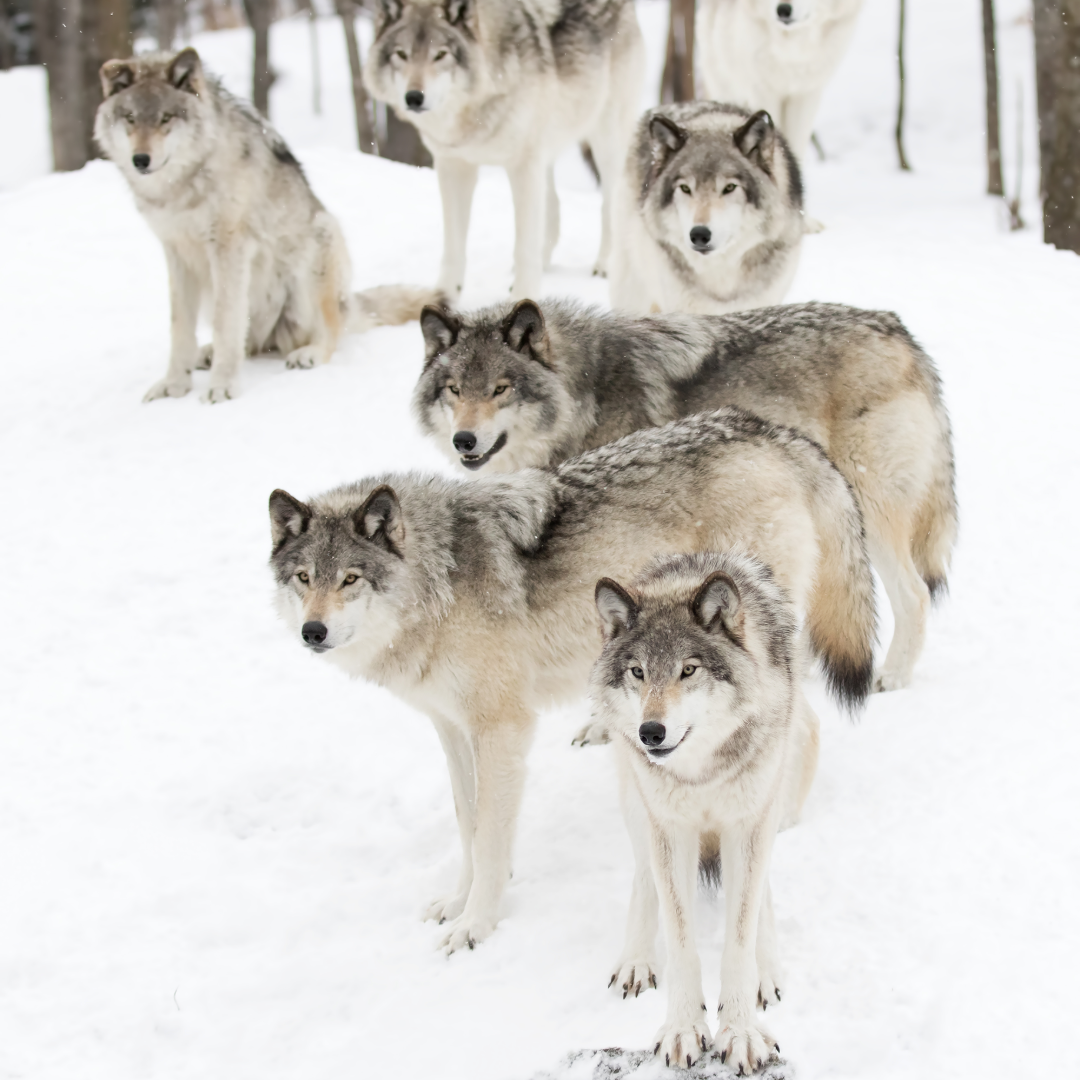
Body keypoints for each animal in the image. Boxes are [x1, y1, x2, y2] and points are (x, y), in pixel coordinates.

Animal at [95, 48, 441, 403]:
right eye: (130, 118)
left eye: (166, 118)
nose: (141, 160)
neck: (181, 186)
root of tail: (351, 303)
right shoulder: (176, 252)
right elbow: (181, 328)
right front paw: (174, 385)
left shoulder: (228, 246)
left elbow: (226, 322)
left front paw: (222, 386)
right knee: (250, 342)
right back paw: (208, 352)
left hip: (317, 249)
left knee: (328, 330)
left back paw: (310, 352)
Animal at [268, 409, 876, 953]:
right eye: (304, 579)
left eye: (350, 579)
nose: (312, 631)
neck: (438, 580)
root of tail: (774, 432)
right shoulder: (452, 727)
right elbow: (467, 824)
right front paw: (457, 902)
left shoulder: (502, 728)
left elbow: (489, 837)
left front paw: (476, 925)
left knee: (802, 726)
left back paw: (781, 818)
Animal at [362, 0, 644, 300]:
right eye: (401, 54)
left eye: (441, 54)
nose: (414, 97)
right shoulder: (453, 166)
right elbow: (453, 247)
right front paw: (444, 298)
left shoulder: (523, 166)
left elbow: (523, 248)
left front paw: (523, 298)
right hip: (546, 150)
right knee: (553, 205)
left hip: (605, 139)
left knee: (609, 202)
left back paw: (604, 263)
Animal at [415, 298, 956, 691]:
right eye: (454, 389)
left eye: (501, 388)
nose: (464, 441)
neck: (582, 396)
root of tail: (897, 329)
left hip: (867, 515)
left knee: (913, 594)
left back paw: (892, 677)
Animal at [590, 552, 805, 1072]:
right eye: (638, 672)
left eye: (688, 670)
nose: (650, 732)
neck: (701, 772)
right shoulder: (670, 828)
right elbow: (682, 940)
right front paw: (683, 1029)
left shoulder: (748, 822)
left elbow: (739, 938)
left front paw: (741, 1031)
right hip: (635, 798)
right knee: (644, 876)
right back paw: (636, 961)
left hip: (773, 793)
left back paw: (767, 970)